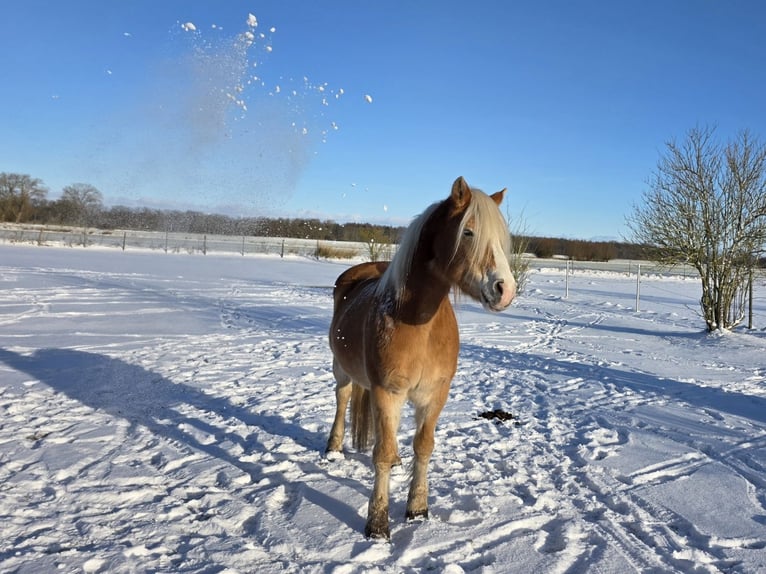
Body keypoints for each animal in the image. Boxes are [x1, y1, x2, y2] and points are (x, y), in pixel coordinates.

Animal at [326, 176, 517, 540]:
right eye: (468, 232)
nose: (506, 289)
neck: (418, 324)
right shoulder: (388, 392)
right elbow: (381, 454)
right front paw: (377, 525)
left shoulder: (434, 395)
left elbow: (423, 446)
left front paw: (417, 509)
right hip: (342, 370)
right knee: (342, 401)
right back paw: (332, 449)